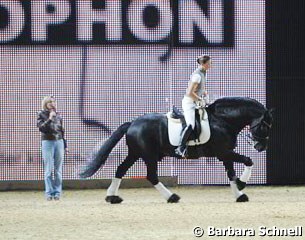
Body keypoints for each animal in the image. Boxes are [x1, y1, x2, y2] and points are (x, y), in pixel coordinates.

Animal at [79, 96, 272, 203]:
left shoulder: (225, 154)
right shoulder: (223, 153)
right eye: (264, 126)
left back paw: (112, 197)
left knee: (121, 169)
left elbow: (231, 174)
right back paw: (171, 197)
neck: (222, 120)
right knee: (151, 176)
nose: (260, 147)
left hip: (135, 154)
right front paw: (242, 184)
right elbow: (248, 161)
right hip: (148, 155)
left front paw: (239, 194)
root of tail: (133, 123)